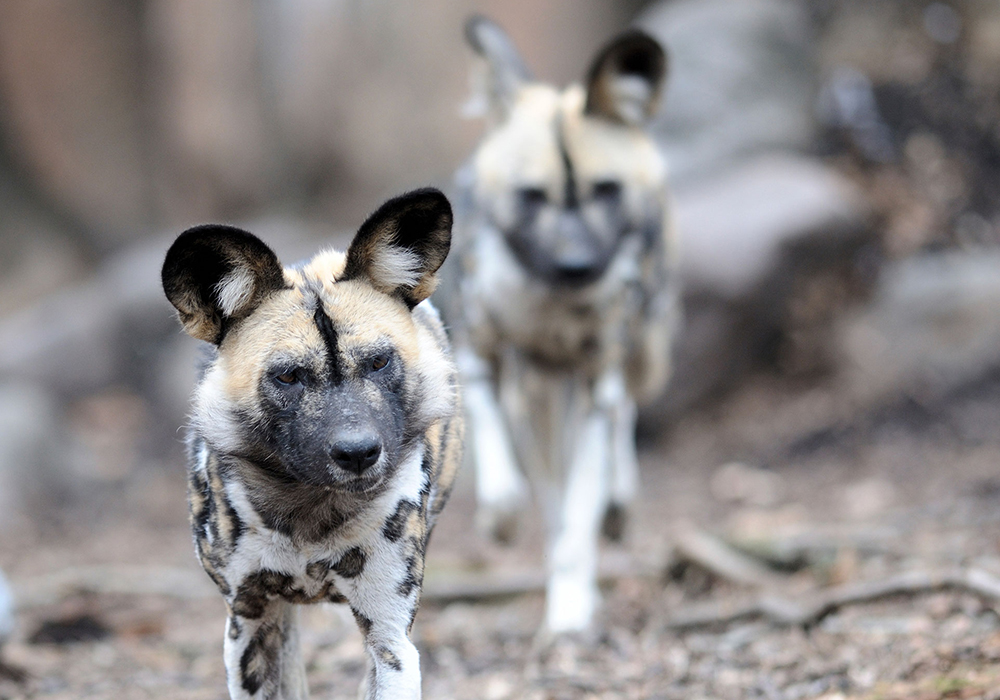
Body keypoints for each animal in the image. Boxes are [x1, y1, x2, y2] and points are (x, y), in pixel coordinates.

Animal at [162, 189, 462, 696]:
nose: (358, 453)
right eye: (289, 376)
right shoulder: (248, 622)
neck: (310, 510)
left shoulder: (389, 633)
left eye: (379, 362)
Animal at [452, 17, 680, 636]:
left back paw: (619, 503)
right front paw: (502, 519)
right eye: (532, 197)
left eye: (606, 190)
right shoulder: (484, 360)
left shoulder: (598, 377)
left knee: (623, 416)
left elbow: (579, 513)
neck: (551, 308)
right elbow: (525, 492)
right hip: (544, 390)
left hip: (630, 353)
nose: (576, 265)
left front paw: (571, 613)